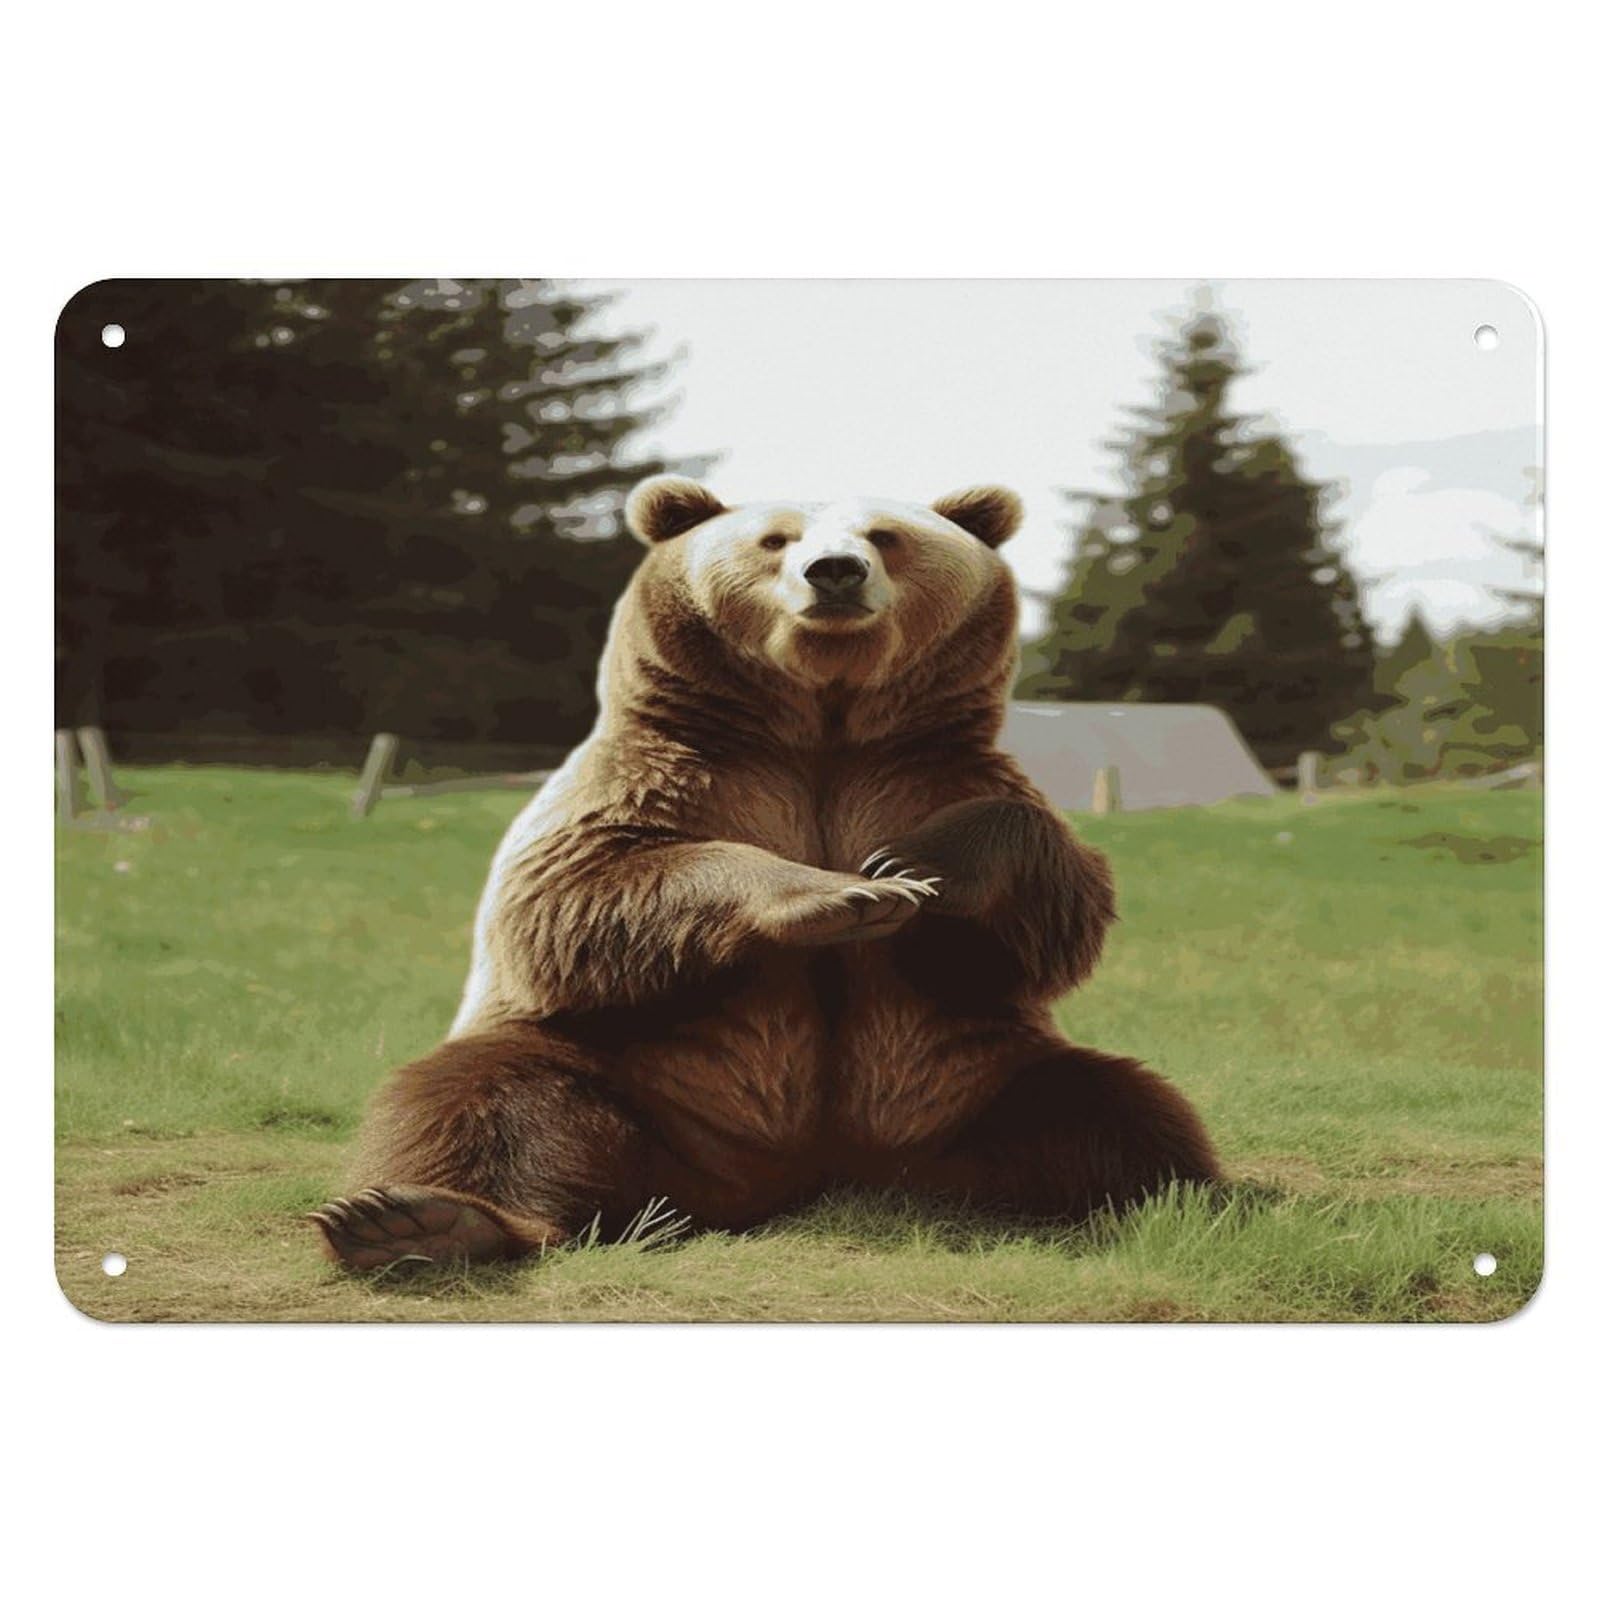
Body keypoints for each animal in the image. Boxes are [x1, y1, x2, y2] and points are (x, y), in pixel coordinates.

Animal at [310, 476, 1220, 1269]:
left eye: (885, 535)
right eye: (775, 539)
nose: (835, 571)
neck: (821, 729)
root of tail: (802, 1176)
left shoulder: (928, 772)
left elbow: (1057, 901)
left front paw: (911, 862)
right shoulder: (675, 771)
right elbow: (573, 894)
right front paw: (848, 891)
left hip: (967, 1085)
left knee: (1116, 1109)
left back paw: (1175, 1203)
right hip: (644, 1082)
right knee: (487, 1095)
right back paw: (423, 1220)